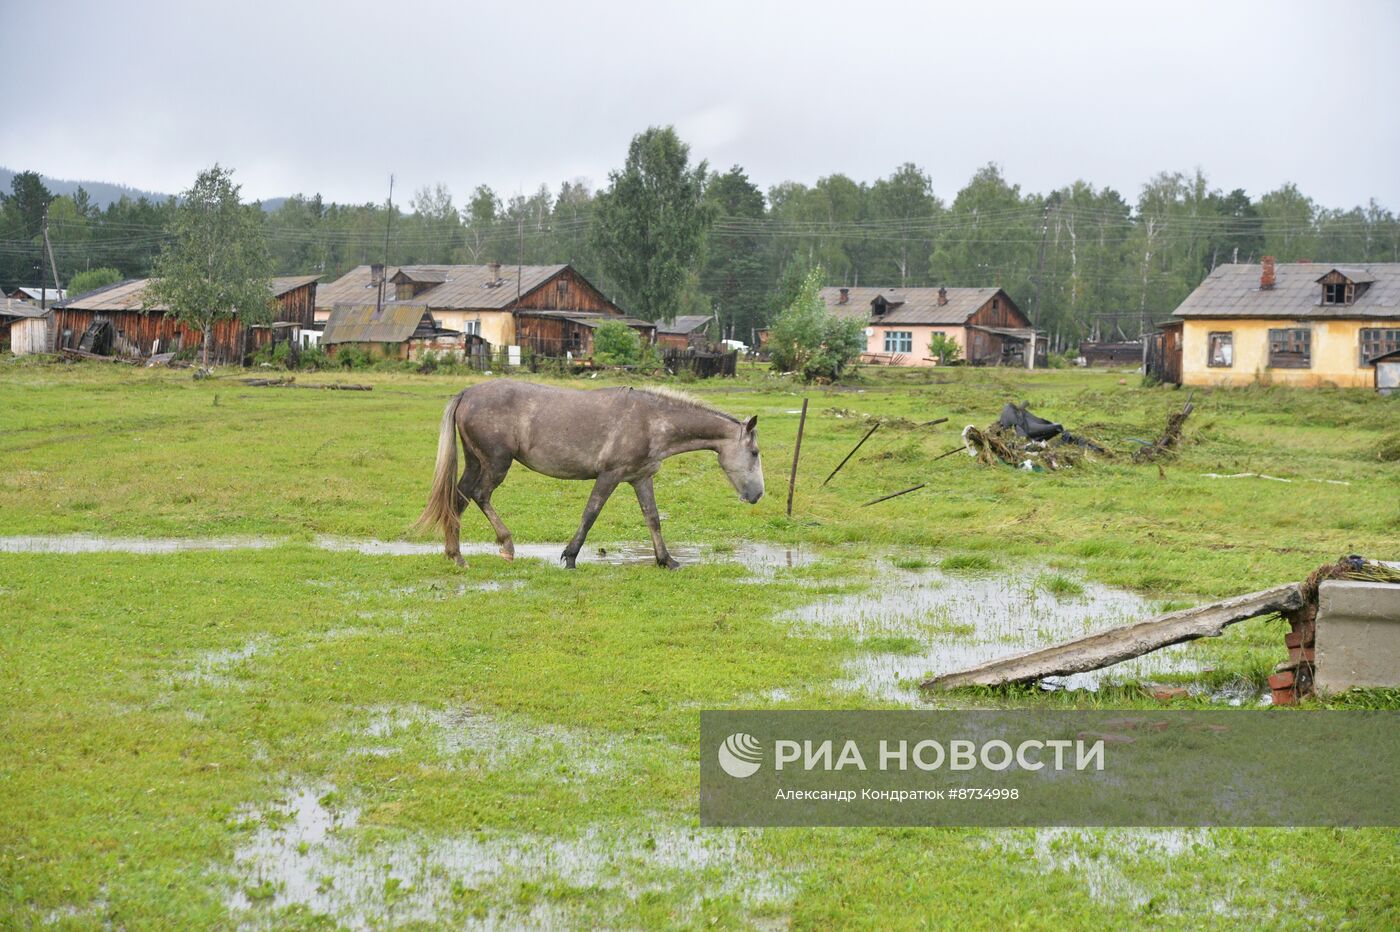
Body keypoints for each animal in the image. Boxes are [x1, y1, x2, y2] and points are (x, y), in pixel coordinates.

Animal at [414, 377, 767, 565]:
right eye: (754, 452)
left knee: (458, 498)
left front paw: (667, 561)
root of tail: (467, 394)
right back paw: (507, 545)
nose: (758, 494)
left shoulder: (640, 478)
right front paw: (569, 556)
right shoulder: (609, 476)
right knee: (479, 495)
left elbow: (653, 518)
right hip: (497, 463)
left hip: (476, 462)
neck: (650, 420)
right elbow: (590, 514)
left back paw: (456, 555)